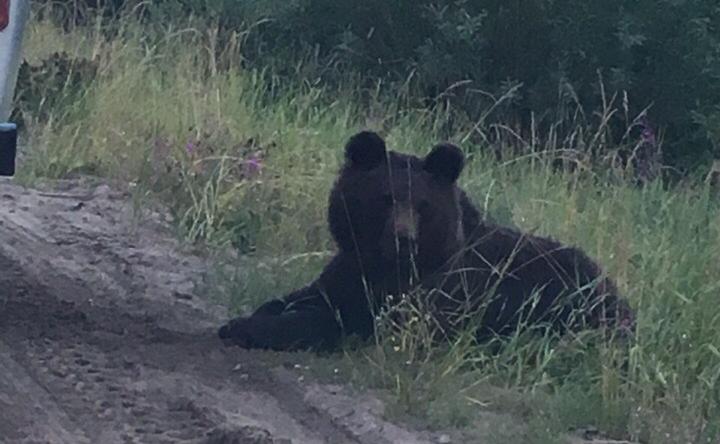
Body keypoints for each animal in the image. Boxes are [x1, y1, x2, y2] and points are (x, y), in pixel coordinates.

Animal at [217, 131, 632, 350]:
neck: (385, 265)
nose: (405, 239)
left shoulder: (444, 291)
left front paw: (243, 327)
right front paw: (259, 313)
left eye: (422, 205)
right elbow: (313, 294)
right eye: (386, 198)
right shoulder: (349, 269)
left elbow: (361, 322)